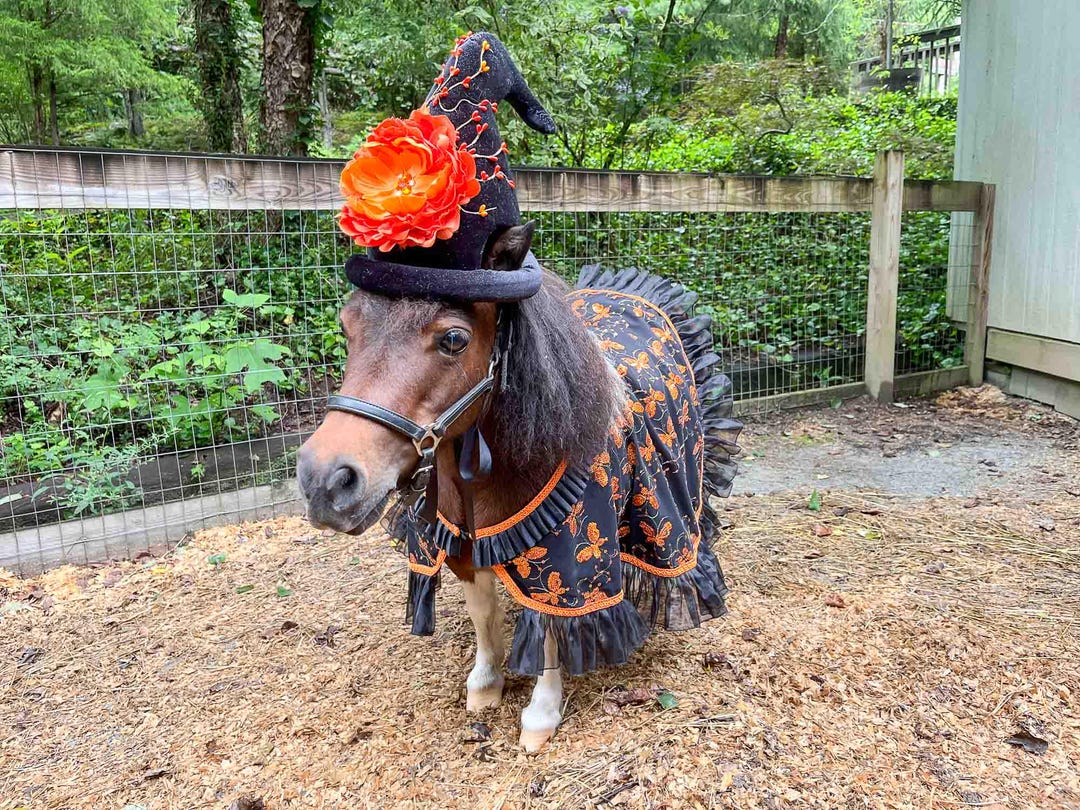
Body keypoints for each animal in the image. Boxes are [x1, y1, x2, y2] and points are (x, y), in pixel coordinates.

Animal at [297, 224, 740, 751]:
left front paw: (540, 716)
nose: (325, 480)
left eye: (454, 338)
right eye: (347, 327)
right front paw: (486, 686)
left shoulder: (563, 568)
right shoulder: (464, 546)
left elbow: (550, 631)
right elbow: (484, 617)